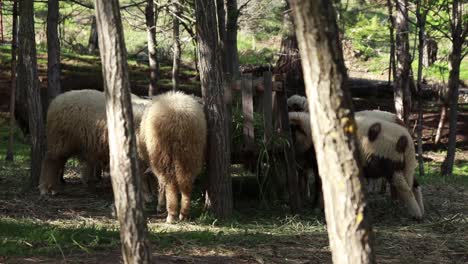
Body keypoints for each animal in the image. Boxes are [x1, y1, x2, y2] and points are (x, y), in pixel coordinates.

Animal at [137, 91, 207, 223]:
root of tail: (178, 117)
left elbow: (160, 184)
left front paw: (160, 205)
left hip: (163, 153)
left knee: (170, 183)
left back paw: (172, 214)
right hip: (190, 152)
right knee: (186, 182)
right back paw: (184, 214)